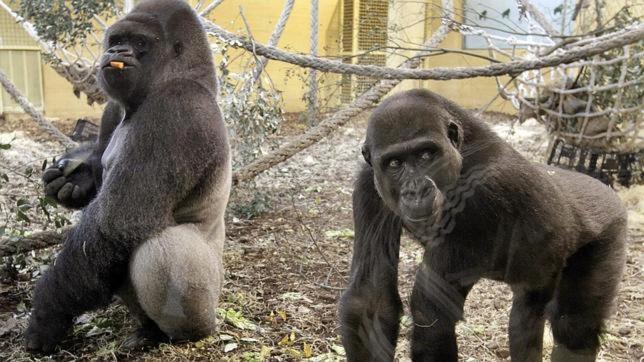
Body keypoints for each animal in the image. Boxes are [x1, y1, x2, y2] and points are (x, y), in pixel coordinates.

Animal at [25, 0, 231, 352]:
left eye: (138, 42)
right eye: (117, 39)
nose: (117, 51)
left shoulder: (175, 108)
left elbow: (116, 221)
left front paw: (47, 313)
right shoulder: (112, 109)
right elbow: (102, 204)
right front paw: (73, 182)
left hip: (210, 301)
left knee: (160, 248)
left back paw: (183, 334)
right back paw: (148, 331)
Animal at [340, 88, 628, 362]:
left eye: (426, 155)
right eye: (395, 163)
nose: (416, 190)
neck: (462, 149)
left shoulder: (483, 192)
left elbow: (432, 314)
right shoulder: (368, 183)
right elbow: (370, 299)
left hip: (609, 227)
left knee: (575, 327)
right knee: (526, 319)